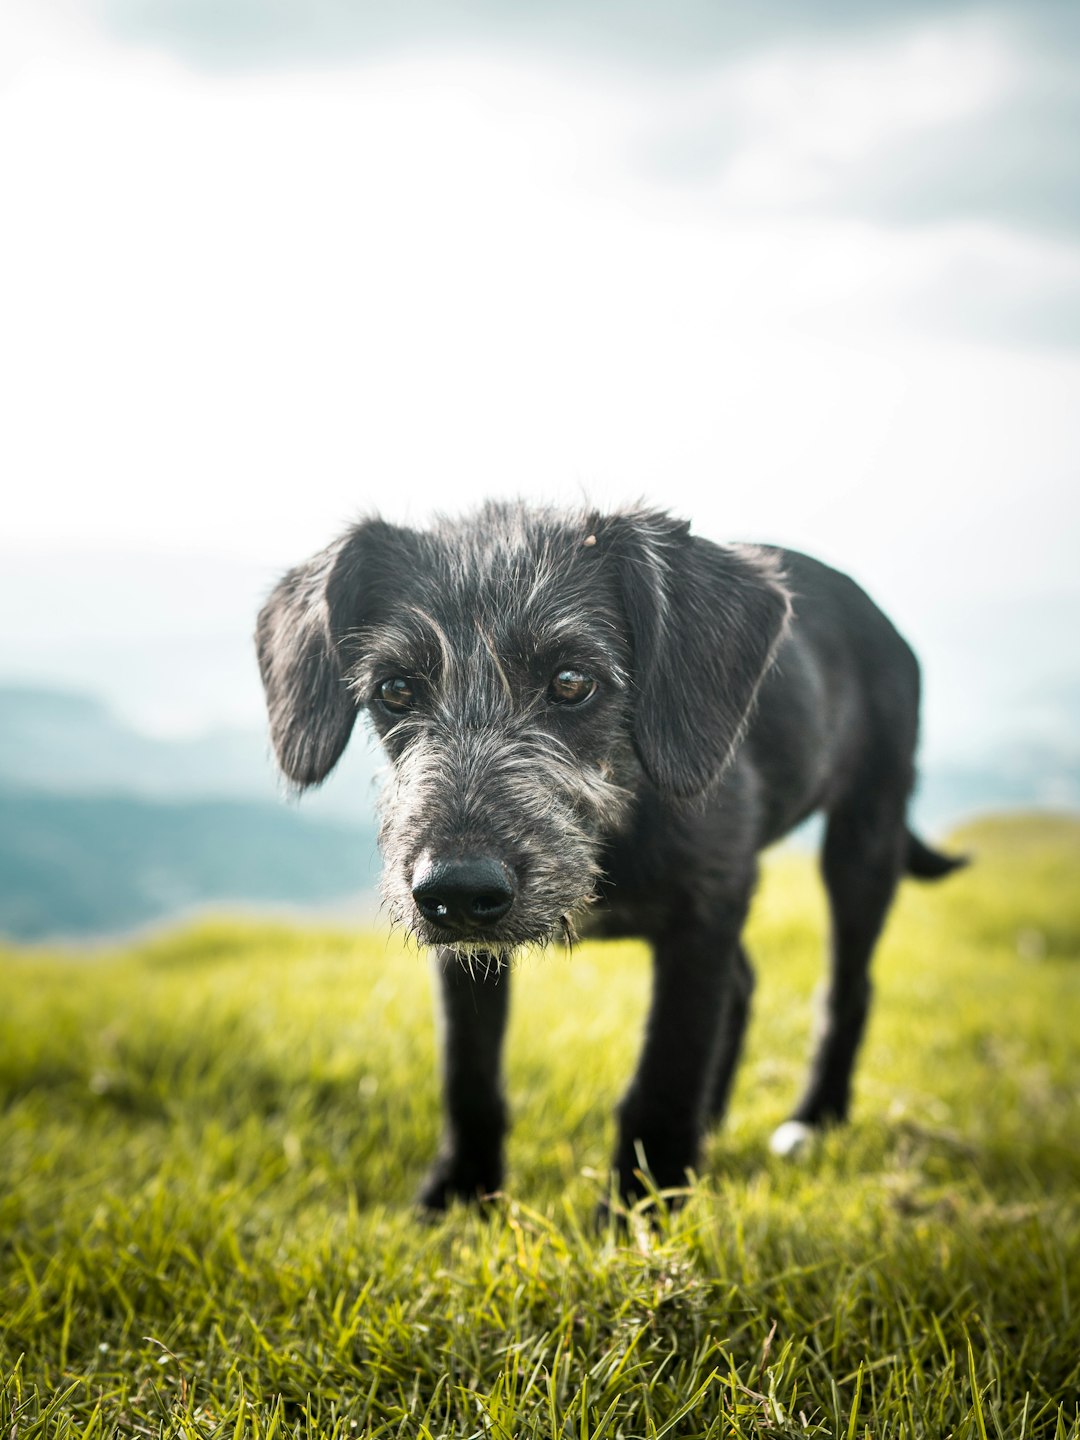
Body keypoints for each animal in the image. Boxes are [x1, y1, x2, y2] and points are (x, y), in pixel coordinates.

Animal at [257, 504, 967, 1203]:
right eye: (396, 689)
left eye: (573, 681)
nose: (456, 889)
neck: (617, 830)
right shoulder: (469, 947)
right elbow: (469, 1068)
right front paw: (460, 1191)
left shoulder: (704, 912)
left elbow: (665, 1075)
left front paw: (638, 1209)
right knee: (743, 985)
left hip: (864, 836)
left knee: (848, 988)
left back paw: (813, 1120)